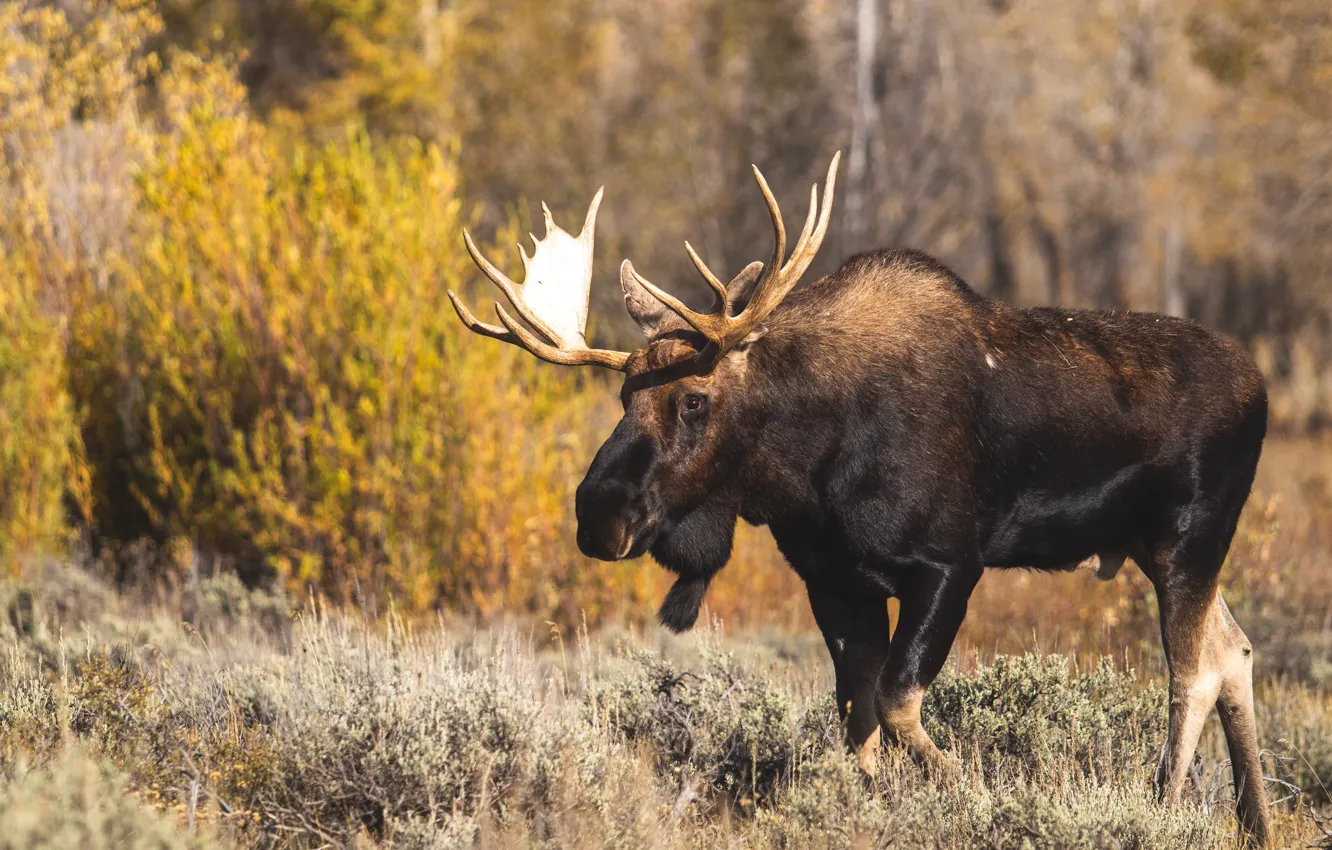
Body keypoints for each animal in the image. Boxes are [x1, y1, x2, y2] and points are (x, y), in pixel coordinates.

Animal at [448, 153, 1271, 845]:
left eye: (693, 399)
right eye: (624, 395)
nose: (598, 513)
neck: (806, 468)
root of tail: (1261, 389)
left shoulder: (949, 564)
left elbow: (898, 700)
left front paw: (973, 797)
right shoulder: (835, 580)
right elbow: (858, 714)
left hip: (1188, 537)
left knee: (1192, 670)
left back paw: (1163, 807)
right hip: (1154, 546)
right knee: (1234, 649)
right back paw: (1255, 822)